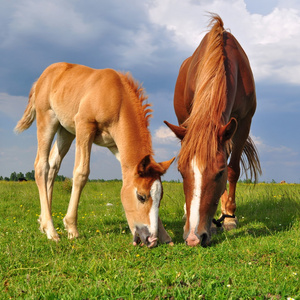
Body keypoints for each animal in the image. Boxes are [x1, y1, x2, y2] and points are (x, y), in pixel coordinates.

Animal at [15, 62, 175, 247]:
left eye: (160, 198)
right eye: (141, 196)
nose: (150, 239)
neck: (117, 98)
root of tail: (44, 74)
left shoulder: (115, 145)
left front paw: (165, 236)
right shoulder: (84, 125)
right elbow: (81, 173)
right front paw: (72, 228)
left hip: (66, 130)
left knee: (53, 166)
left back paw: (42, 222)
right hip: (47, 118)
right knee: (41, 166)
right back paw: (51, 230)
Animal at [165, 14, 262, 246]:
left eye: (219, 173)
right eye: (180, 172)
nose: (193, 237)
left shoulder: (243, 122)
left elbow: (233, 169)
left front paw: (229, 218)